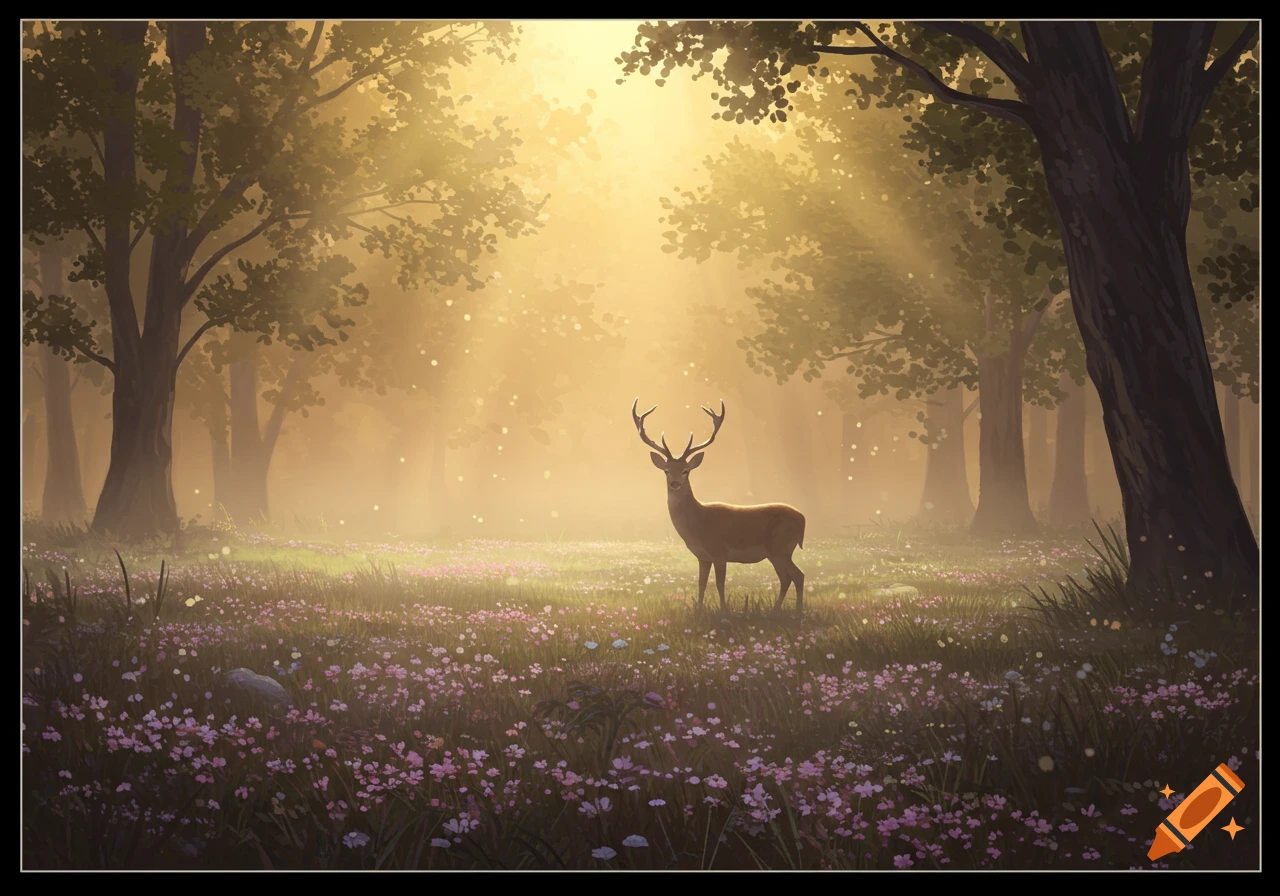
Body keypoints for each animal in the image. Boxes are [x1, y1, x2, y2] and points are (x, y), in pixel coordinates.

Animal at [632, 398, 807, 618]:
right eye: (666, 470)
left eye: (685, 470)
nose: (674, 483)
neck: (697, 525)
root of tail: (803, 519)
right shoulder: (703, 557)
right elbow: (701, 583)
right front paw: (698, 611)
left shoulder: (719, 551)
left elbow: (720, 584)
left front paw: (724, 611)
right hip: (779, 550)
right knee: (791, 577)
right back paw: (783, 611)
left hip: (780, 547)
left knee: (794, 576)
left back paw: (792, 613)